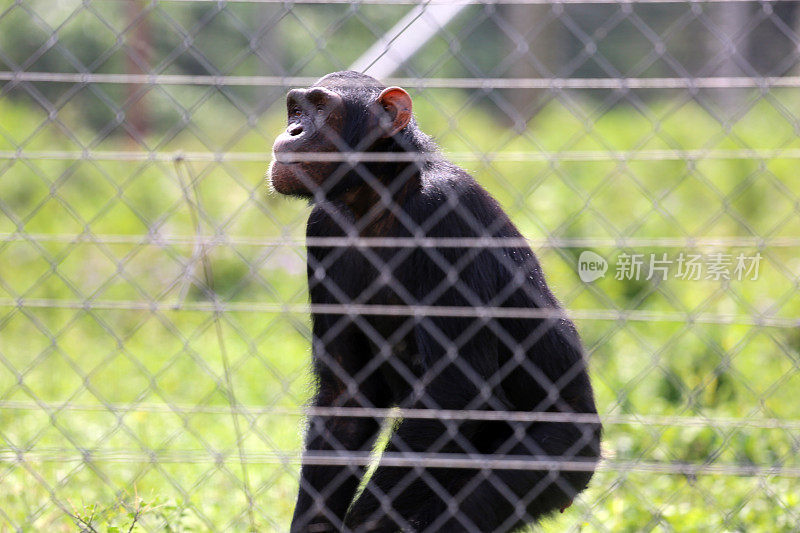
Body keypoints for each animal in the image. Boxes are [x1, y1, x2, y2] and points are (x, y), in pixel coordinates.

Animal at [268, 71, 600, 532]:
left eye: (320, 108)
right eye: (296, 110)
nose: (294, 130)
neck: (380, 196)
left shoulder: (448, 212)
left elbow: (453, 391)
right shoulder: (322, 228)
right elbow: (345, 399)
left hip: (556, 456)